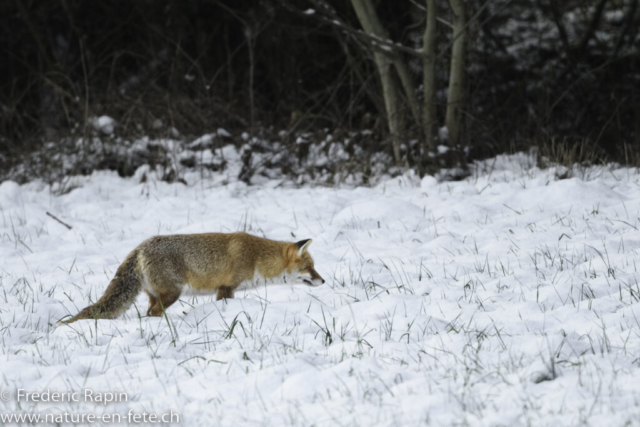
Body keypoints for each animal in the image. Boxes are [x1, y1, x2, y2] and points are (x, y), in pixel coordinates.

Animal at [59, 232, 324, 324]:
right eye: (310, 267)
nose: (323, 281)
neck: (256, 258)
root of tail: (140, 247)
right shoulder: (226, 288)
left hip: (155, 296)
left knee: (147, 313)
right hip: (171, 295)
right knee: (153, 314)